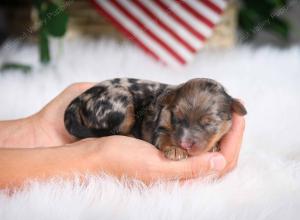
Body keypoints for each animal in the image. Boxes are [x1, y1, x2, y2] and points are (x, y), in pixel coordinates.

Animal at [63, 78, 246, 161]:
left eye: (210, 123)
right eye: (177, 117)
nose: (184, 144)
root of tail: (83, 96)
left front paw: (215, 145)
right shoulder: (160, 126)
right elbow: (163, 136)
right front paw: (174, 150)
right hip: (120, 100)